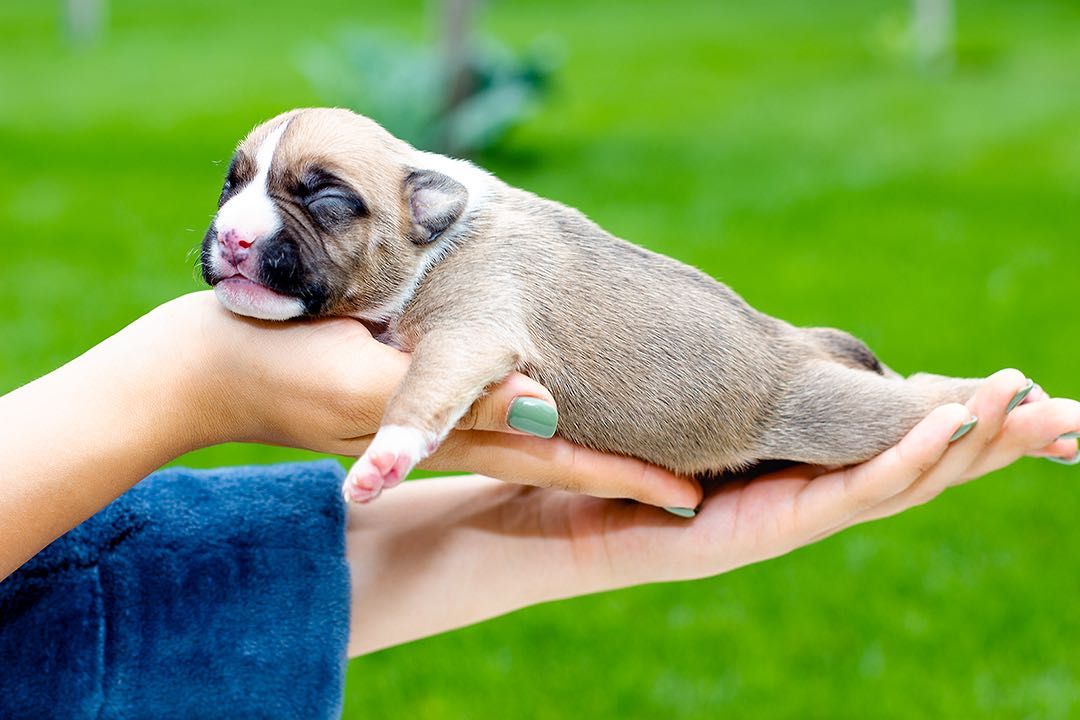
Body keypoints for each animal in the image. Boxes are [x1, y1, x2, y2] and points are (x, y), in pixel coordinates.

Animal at [203, 106, 1010, 505]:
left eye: (327, 199)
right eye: (231, 184)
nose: (235, 238)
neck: (434, 232)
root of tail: (798, 343)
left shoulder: (474, 324)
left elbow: (424, 386)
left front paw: (385, 455)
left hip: (823, 408)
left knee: (907, 402)